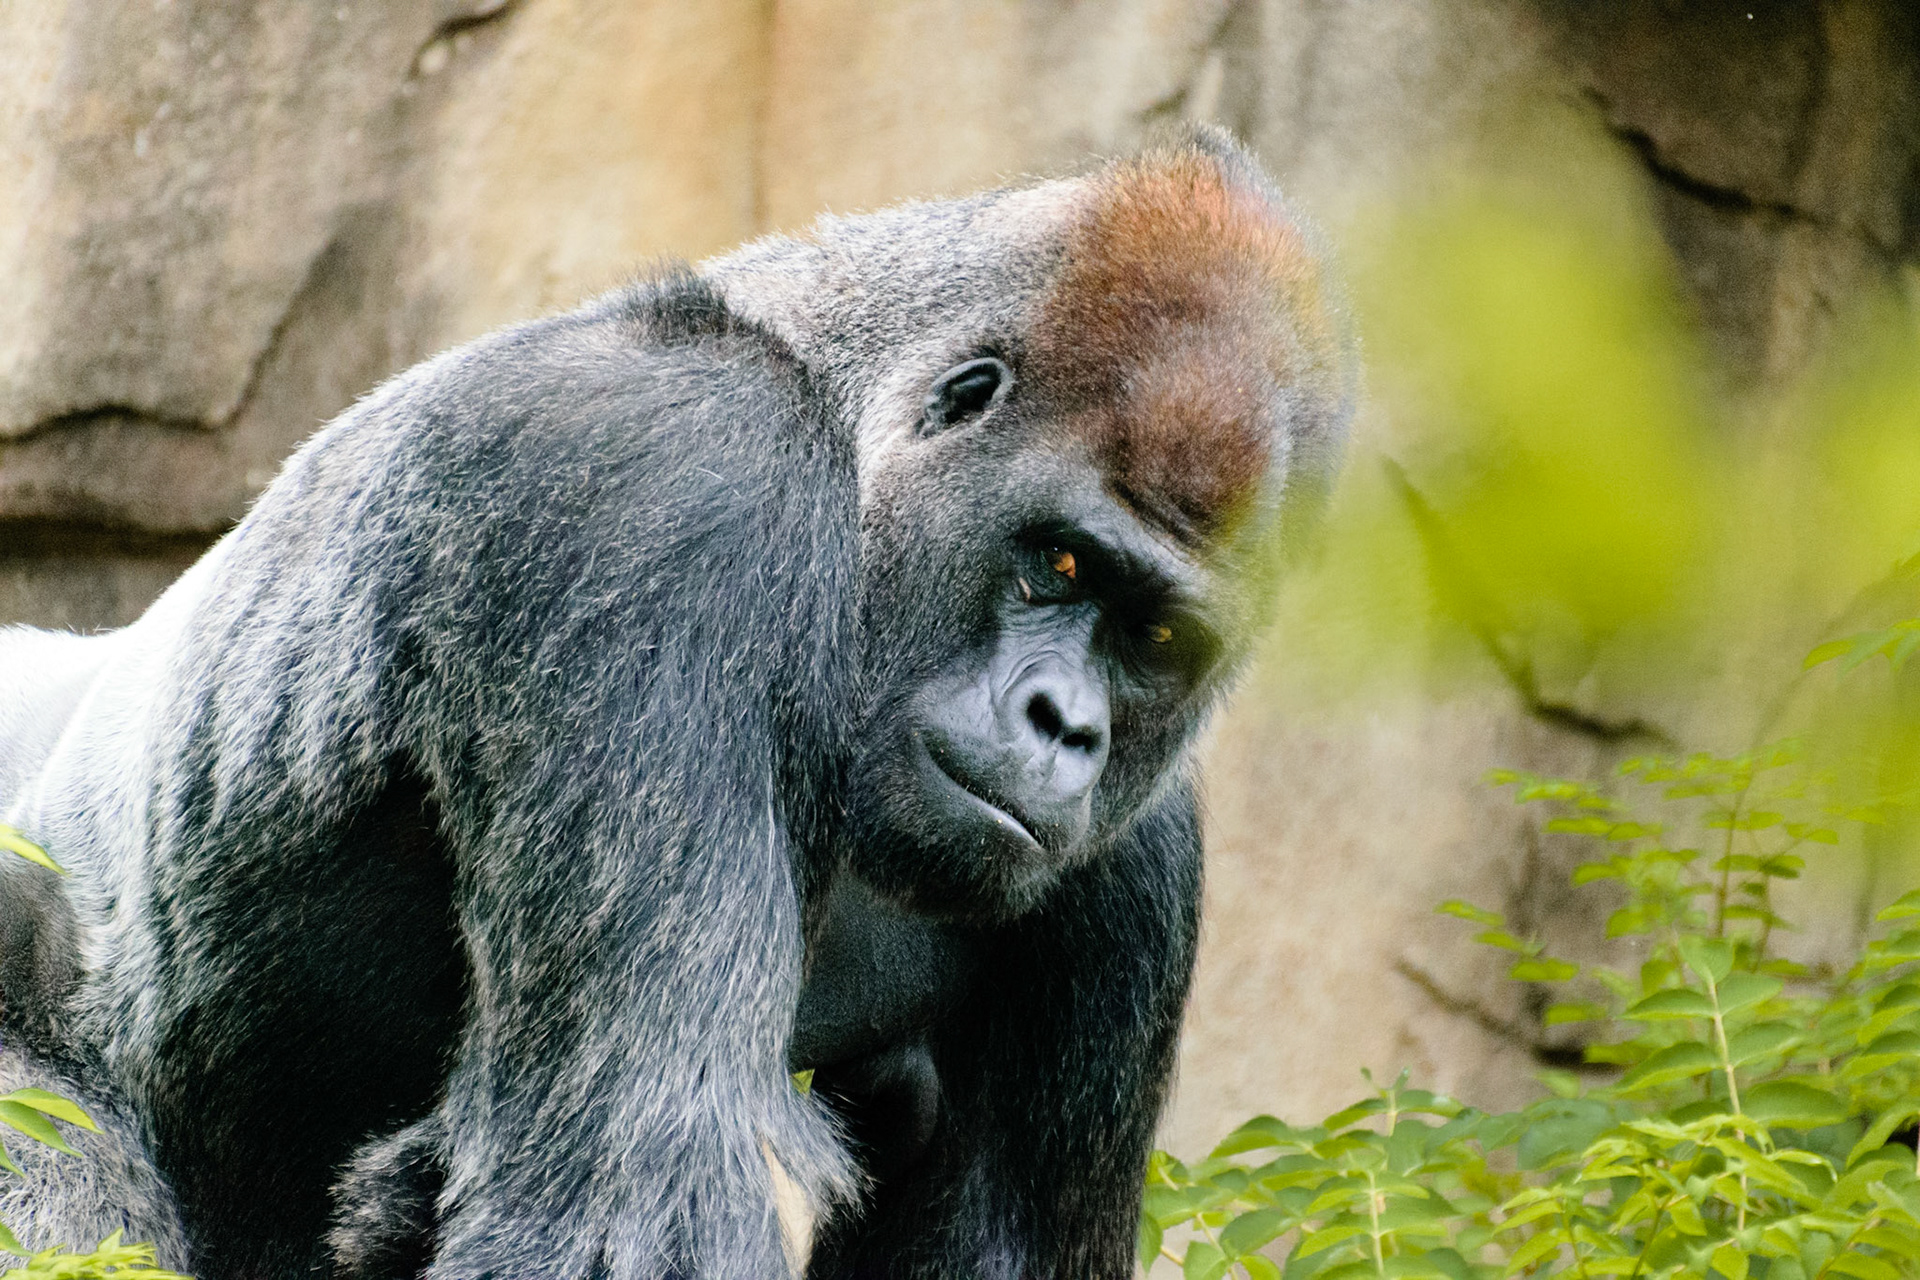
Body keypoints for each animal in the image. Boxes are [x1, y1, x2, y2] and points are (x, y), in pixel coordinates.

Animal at [0, 127, 1352, 1279]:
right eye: (1058, 563)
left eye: (1159, 637)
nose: (1067, 726)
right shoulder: (672, 483)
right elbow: (632, 1203)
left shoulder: (1136, 869)